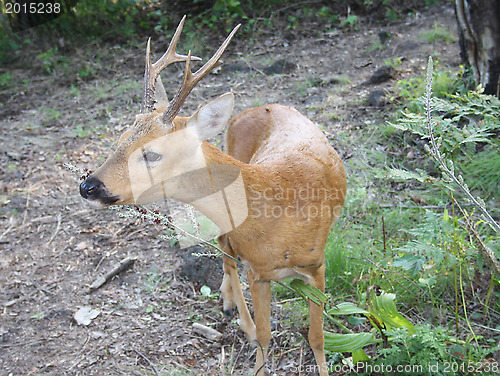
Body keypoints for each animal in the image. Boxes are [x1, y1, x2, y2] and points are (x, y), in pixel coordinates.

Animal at [79, 16, 348, 374]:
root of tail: (256, 108)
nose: (88, 186)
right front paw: (254, 343)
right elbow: (265, 336)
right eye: (121, 138)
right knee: (225, 249)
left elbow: (317, 337)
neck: (277, 217)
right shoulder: (257, 272)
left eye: (151, 154)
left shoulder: (317, 266)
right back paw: (234, 310)